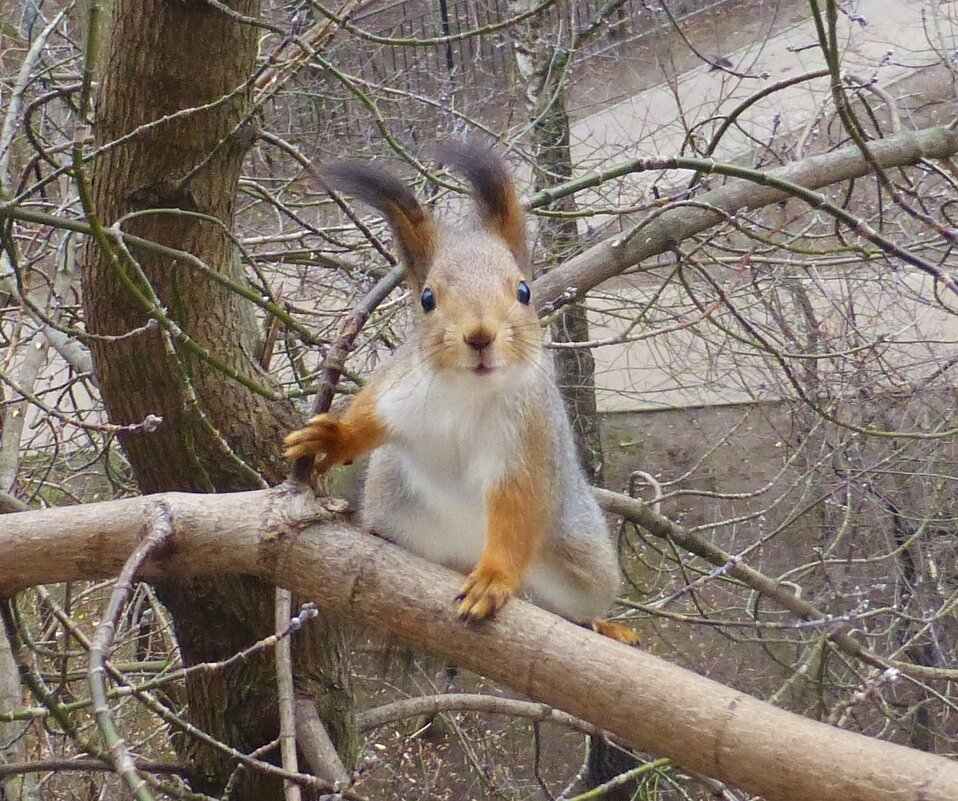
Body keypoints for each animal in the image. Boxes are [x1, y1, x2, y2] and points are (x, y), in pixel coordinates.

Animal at [284, 144, 636, 644]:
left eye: (523, 290)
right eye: (427, 298)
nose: (480, 336)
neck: (466, 392)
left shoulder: (528, 437)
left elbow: (517, 509)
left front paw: (493, 579)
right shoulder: (400, 387)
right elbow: (370, 415)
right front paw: (331, 437)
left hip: (581, 555)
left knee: (576, 606)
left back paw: (602, 624)